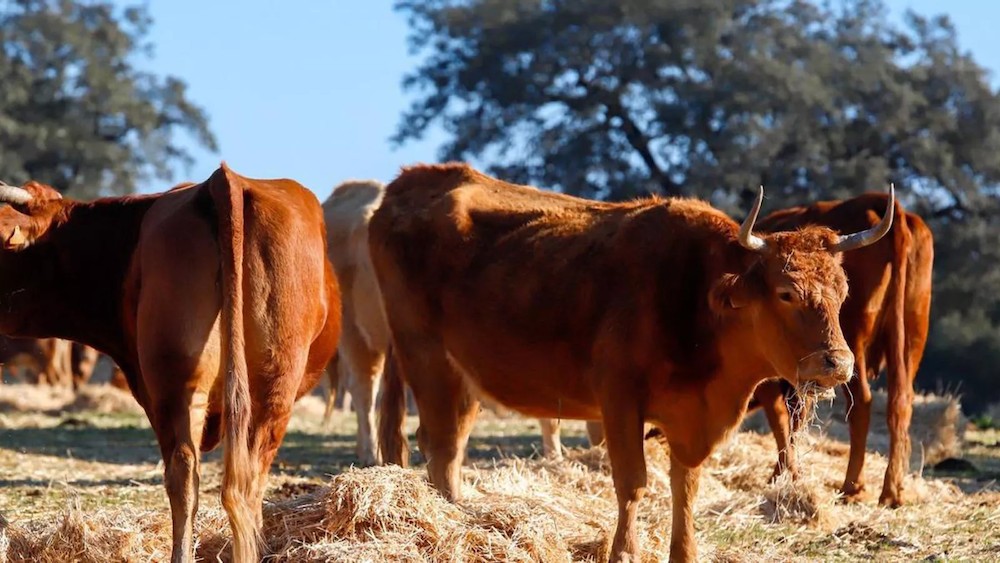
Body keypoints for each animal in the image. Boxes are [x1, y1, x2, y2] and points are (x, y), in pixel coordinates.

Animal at [372, 164, 896, 563]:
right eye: (787, 293)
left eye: (842, 290)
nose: (837, 363)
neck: (694, 297)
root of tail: (413, 179)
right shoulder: (620, 400)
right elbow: (633, 483)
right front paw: (624, 552)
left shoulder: (688, 419)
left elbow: (685, 485)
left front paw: (684, 553)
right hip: (426, 357)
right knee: (440, 446)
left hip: (463, 376)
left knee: (450, 448)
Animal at [752, 194, 932, 506]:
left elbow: (783, 419)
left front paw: (781, 476)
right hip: (911, 336)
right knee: (901, 401)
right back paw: (893, 490)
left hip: (852, 345)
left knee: (861, 403)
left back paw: (853, 486)